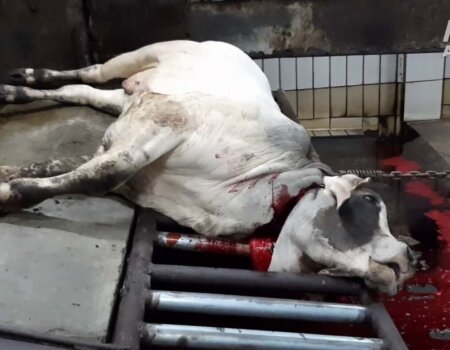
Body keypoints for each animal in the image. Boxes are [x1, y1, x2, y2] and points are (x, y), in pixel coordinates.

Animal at [0, 39, 414, 294]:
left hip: (126, 98)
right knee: (92, 72)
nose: (406, 259)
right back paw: (28, 76)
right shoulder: (169, 116)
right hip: (148, 55)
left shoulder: (134, 151)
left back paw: (15, 89)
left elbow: (70, 167)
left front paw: (8, 175)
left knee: (79, 92)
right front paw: (9, 194)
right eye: (371, 202)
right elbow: (102, 174)